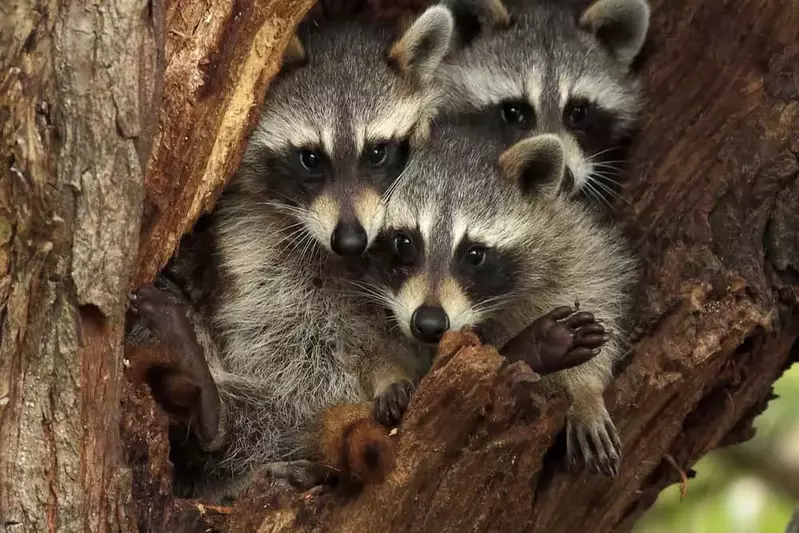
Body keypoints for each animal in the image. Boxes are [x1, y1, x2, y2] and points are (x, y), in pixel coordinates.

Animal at [366, 115, 638, 476]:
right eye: (404, 242)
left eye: (474, 254)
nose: (428, 323)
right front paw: (388, 373)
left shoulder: (567, 236)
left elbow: (596, 285)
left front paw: (585, 392)